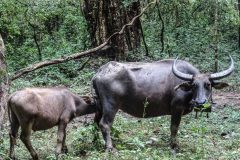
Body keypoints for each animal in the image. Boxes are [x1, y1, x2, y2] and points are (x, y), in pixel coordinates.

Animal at [92, 56, 234, 151]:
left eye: (208, 84)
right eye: (194, 85)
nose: (200, 102)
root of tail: (99, 72)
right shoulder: (177, 108)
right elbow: (174, 127)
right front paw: (174, 146)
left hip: (99, 106)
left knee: (96, 122)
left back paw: (97, 142)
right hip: (111, 106)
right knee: (105, 124)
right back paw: (110, 147)